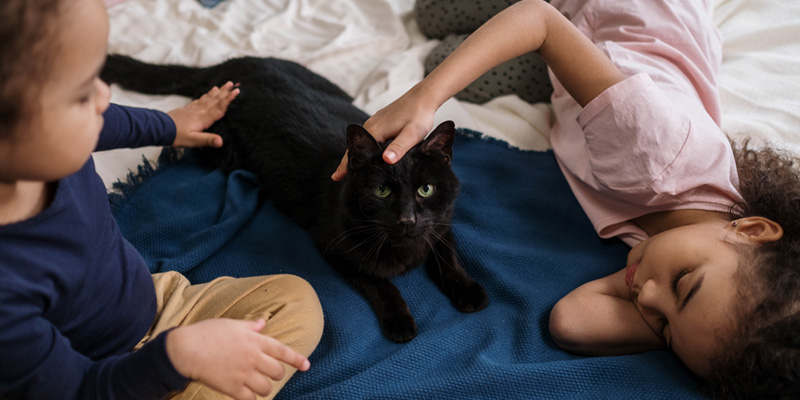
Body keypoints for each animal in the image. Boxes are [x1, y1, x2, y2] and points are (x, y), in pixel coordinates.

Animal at [100, 54, 488, 344]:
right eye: (382, 191)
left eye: (426, 189)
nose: (407, 219)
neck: (405, 250)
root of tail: (227, 66)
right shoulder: (333, 244)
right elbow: (379, 282)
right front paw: (400, 321)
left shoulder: (441, 223)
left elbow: (448, 257)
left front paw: (470, 292)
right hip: (224, 151)